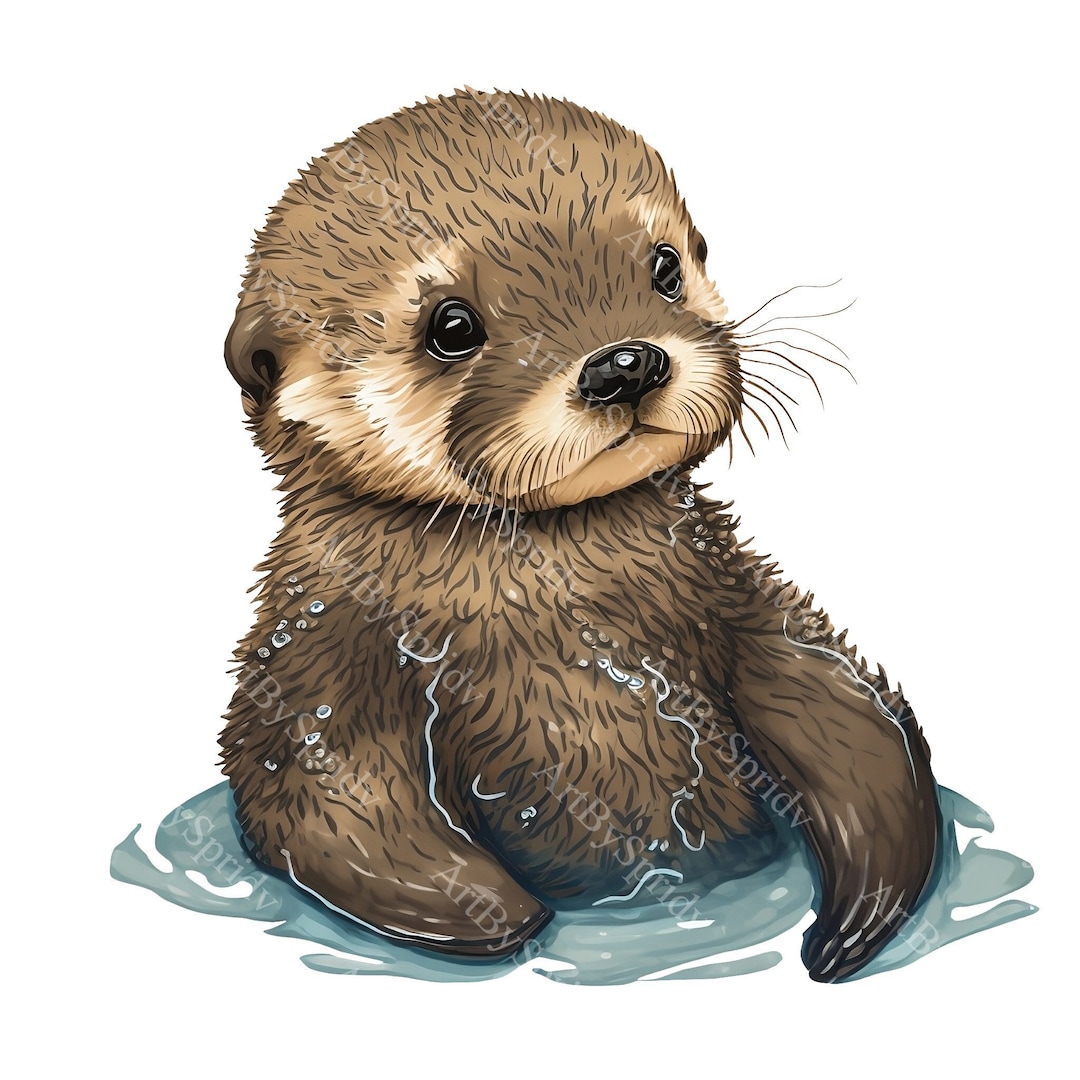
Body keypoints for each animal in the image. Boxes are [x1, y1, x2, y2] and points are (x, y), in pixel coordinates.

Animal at [219, 90, 940, 982]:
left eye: (665, 267)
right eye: (451, 325)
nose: (624, 365)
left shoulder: (738, 600)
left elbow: (841, 701)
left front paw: (858, 915)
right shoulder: (317, 655)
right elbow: (316, 777)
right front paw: (496, 913)